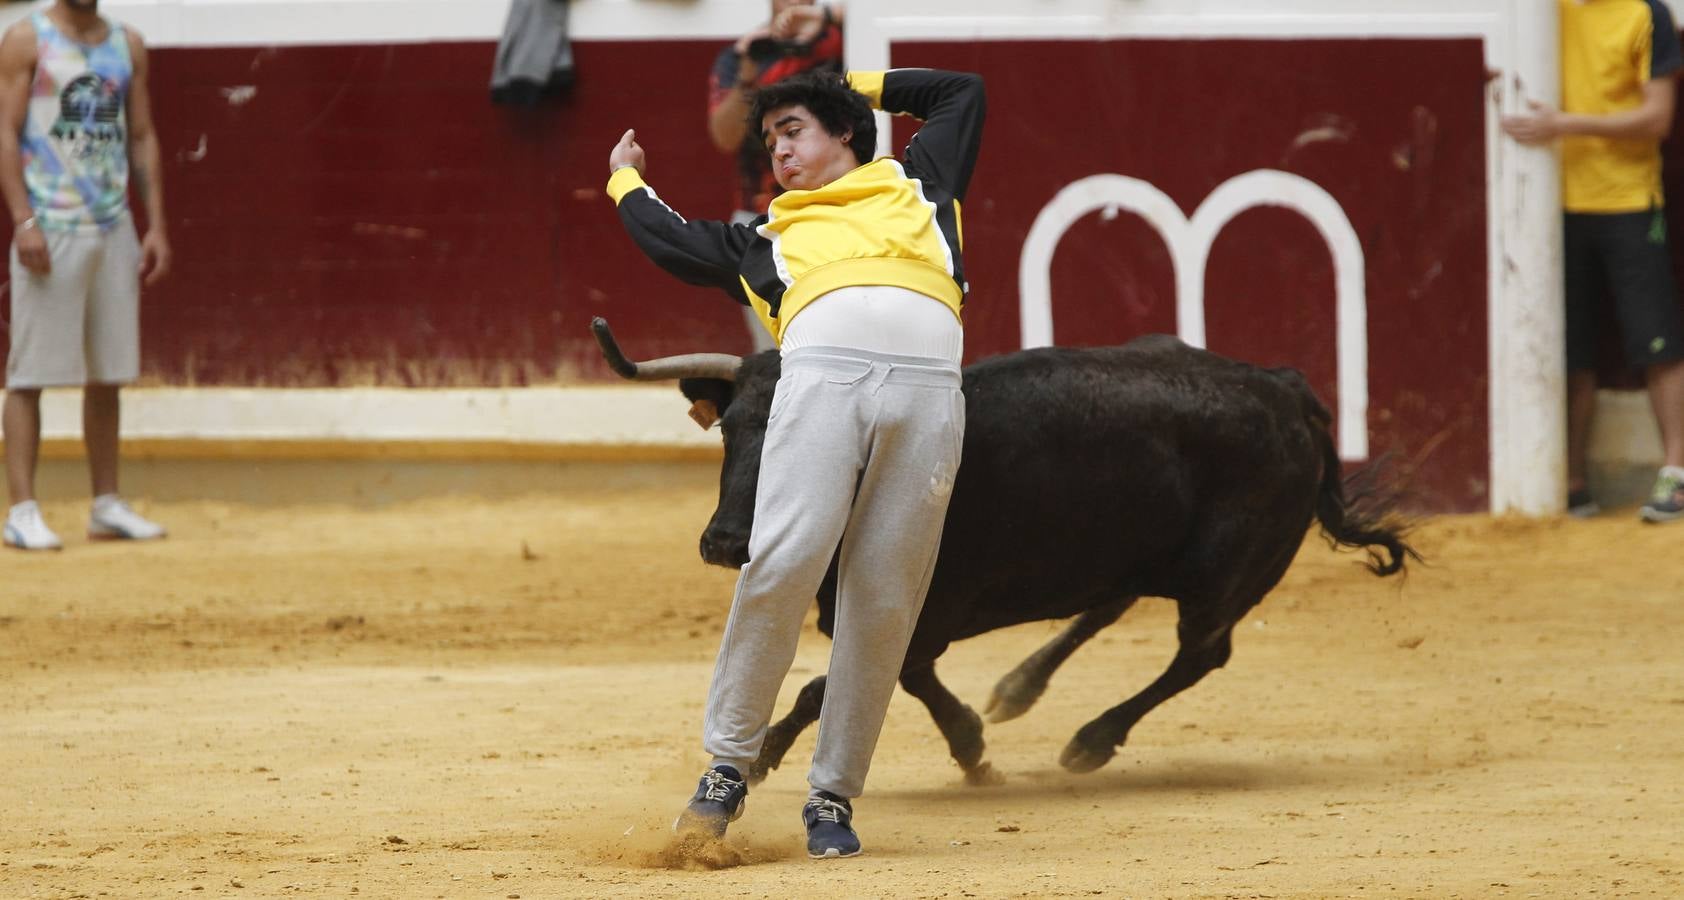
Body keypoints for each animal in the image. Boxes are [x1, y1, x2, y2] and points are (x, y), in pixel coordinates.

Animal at [586, 321, 1414, 785]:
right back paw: (1019, 689)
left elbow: (836, 682)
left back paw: (1090, 741)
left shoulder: (920, 608)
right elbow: (899, 677)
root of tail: (1286, 389)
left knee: (1199, 654)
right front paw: (975, 747)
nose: (727, 542)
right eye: (731, 429)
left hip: (1224, 576)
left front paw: (759, 757)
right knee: (1111, 605)